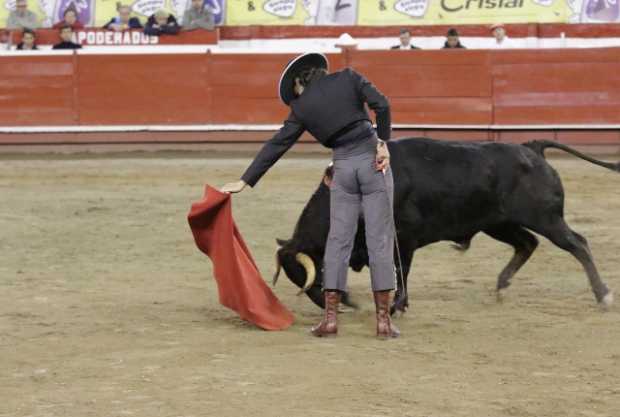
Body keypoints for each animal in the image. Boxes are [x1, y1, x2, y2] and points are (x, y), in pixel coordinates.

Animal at [274, 136, 616, 312]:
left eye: (315, 274)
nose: (326, 304)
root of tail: (531, 147)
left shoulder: (403, 238)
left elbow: (401, 270)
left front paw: (398, 305)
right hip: (499, 224)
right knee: (527, 244)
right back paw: (501, 287)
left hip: (546, 218)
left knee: (577, 243)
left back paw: (603, 295)